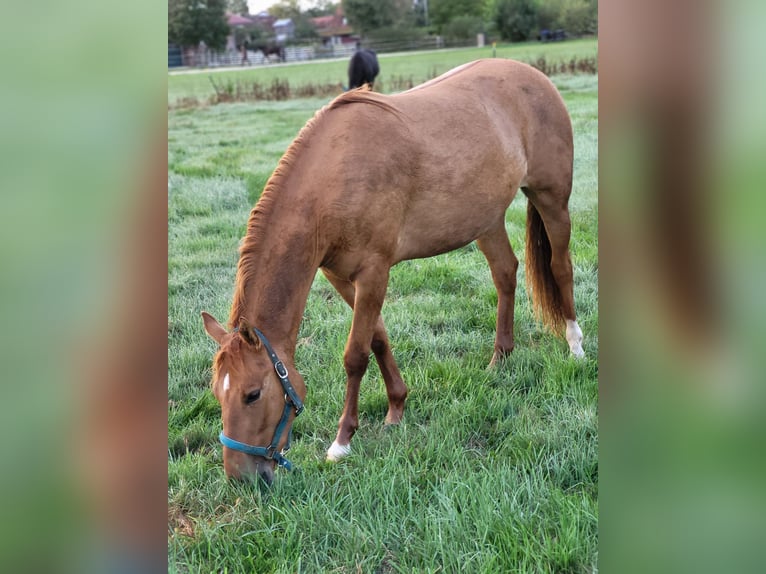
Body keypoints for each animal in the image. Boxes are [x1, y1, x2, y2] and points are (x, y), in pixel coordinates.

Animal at [202, 59, 585, 484]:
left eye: (252, 394)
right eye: (217, 394)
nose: (241, 477)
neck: (334, 178)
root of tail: (534, 75)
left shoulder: (374, 272)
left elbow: (355, 354)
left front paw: (342, 442)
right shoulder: (341, 277)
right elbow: (379, 339)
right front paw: (397, 407)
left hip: (551, 199)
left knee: (560, 268)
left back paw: (575, 346)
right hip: (486, 220)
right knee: (505, 273)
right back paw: (500, 358)